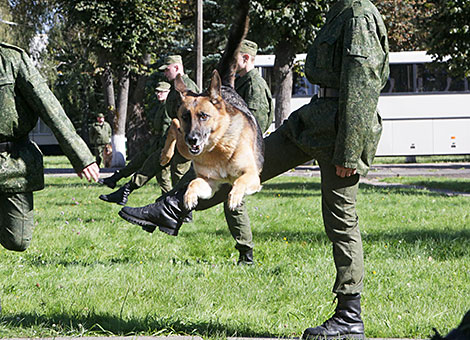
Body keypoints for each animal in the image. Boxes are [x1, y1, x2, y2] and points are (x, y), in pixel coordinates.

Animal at [160, 0, 264, 211]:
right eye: (186, 116)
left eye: (203, 116)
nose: (192, 139)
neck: (218, 147)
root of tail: (224, 86)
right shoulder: (209, 182)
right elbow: (193, 182)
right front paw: (189, 197)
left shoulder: (252, 176)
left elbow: (240, 181)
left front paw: (234, 196)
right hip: (184, 148)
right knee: (173, 126)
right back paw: (165, 155)